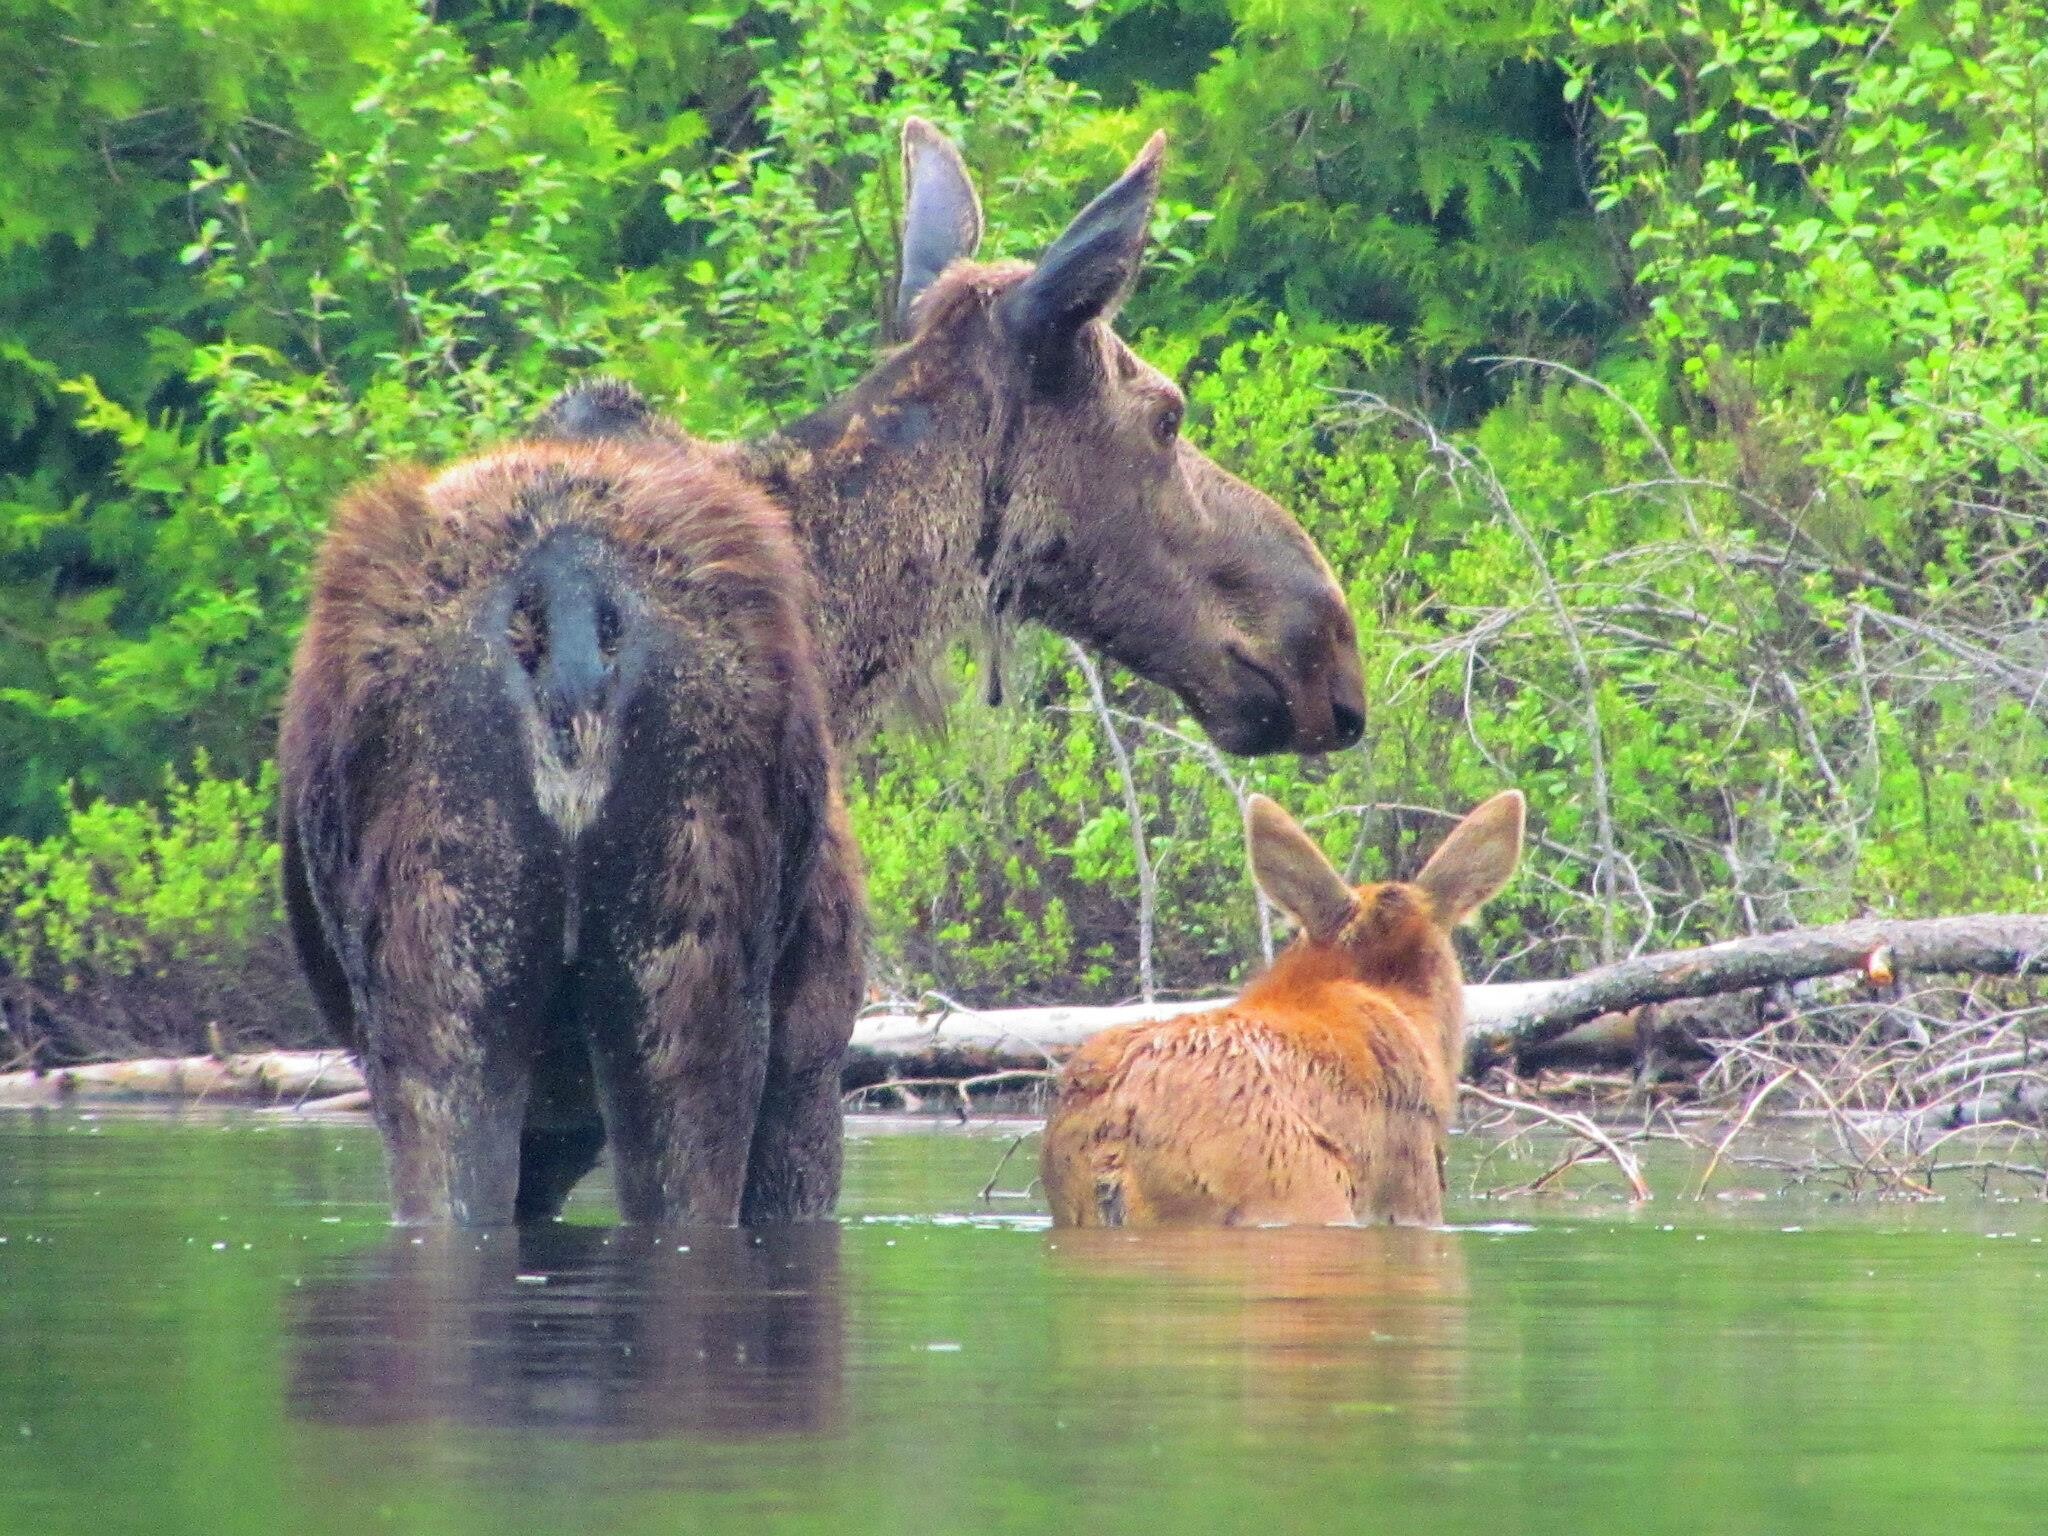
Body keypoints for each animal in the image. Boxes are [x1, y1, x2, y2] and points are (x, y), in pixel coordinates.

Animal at [278, 120, 1368, 1226]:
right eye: (1166, 415)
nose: (1325, 640)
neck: (846, 628)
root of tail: (571, 598)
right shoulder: (811, 1052)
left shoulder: (542, 1125)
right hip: (693, 1013)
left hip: (441, 1020)